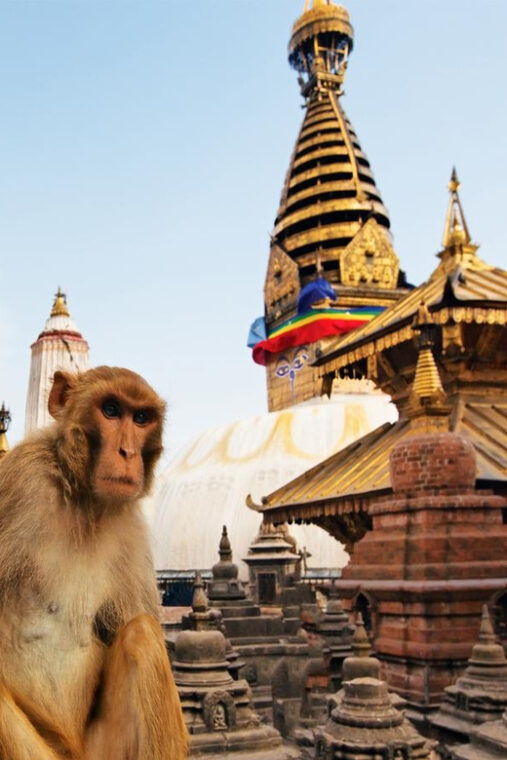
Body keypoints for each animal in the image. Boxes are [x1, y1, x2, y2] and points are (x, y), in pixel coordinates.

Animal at [0, 367, 188, 760]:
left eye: (141, 418)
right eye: (111, 410)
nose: (127, 452)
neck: (81, 500)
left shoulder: (129, 528)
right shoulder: (20, 479)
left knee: (141, 633)